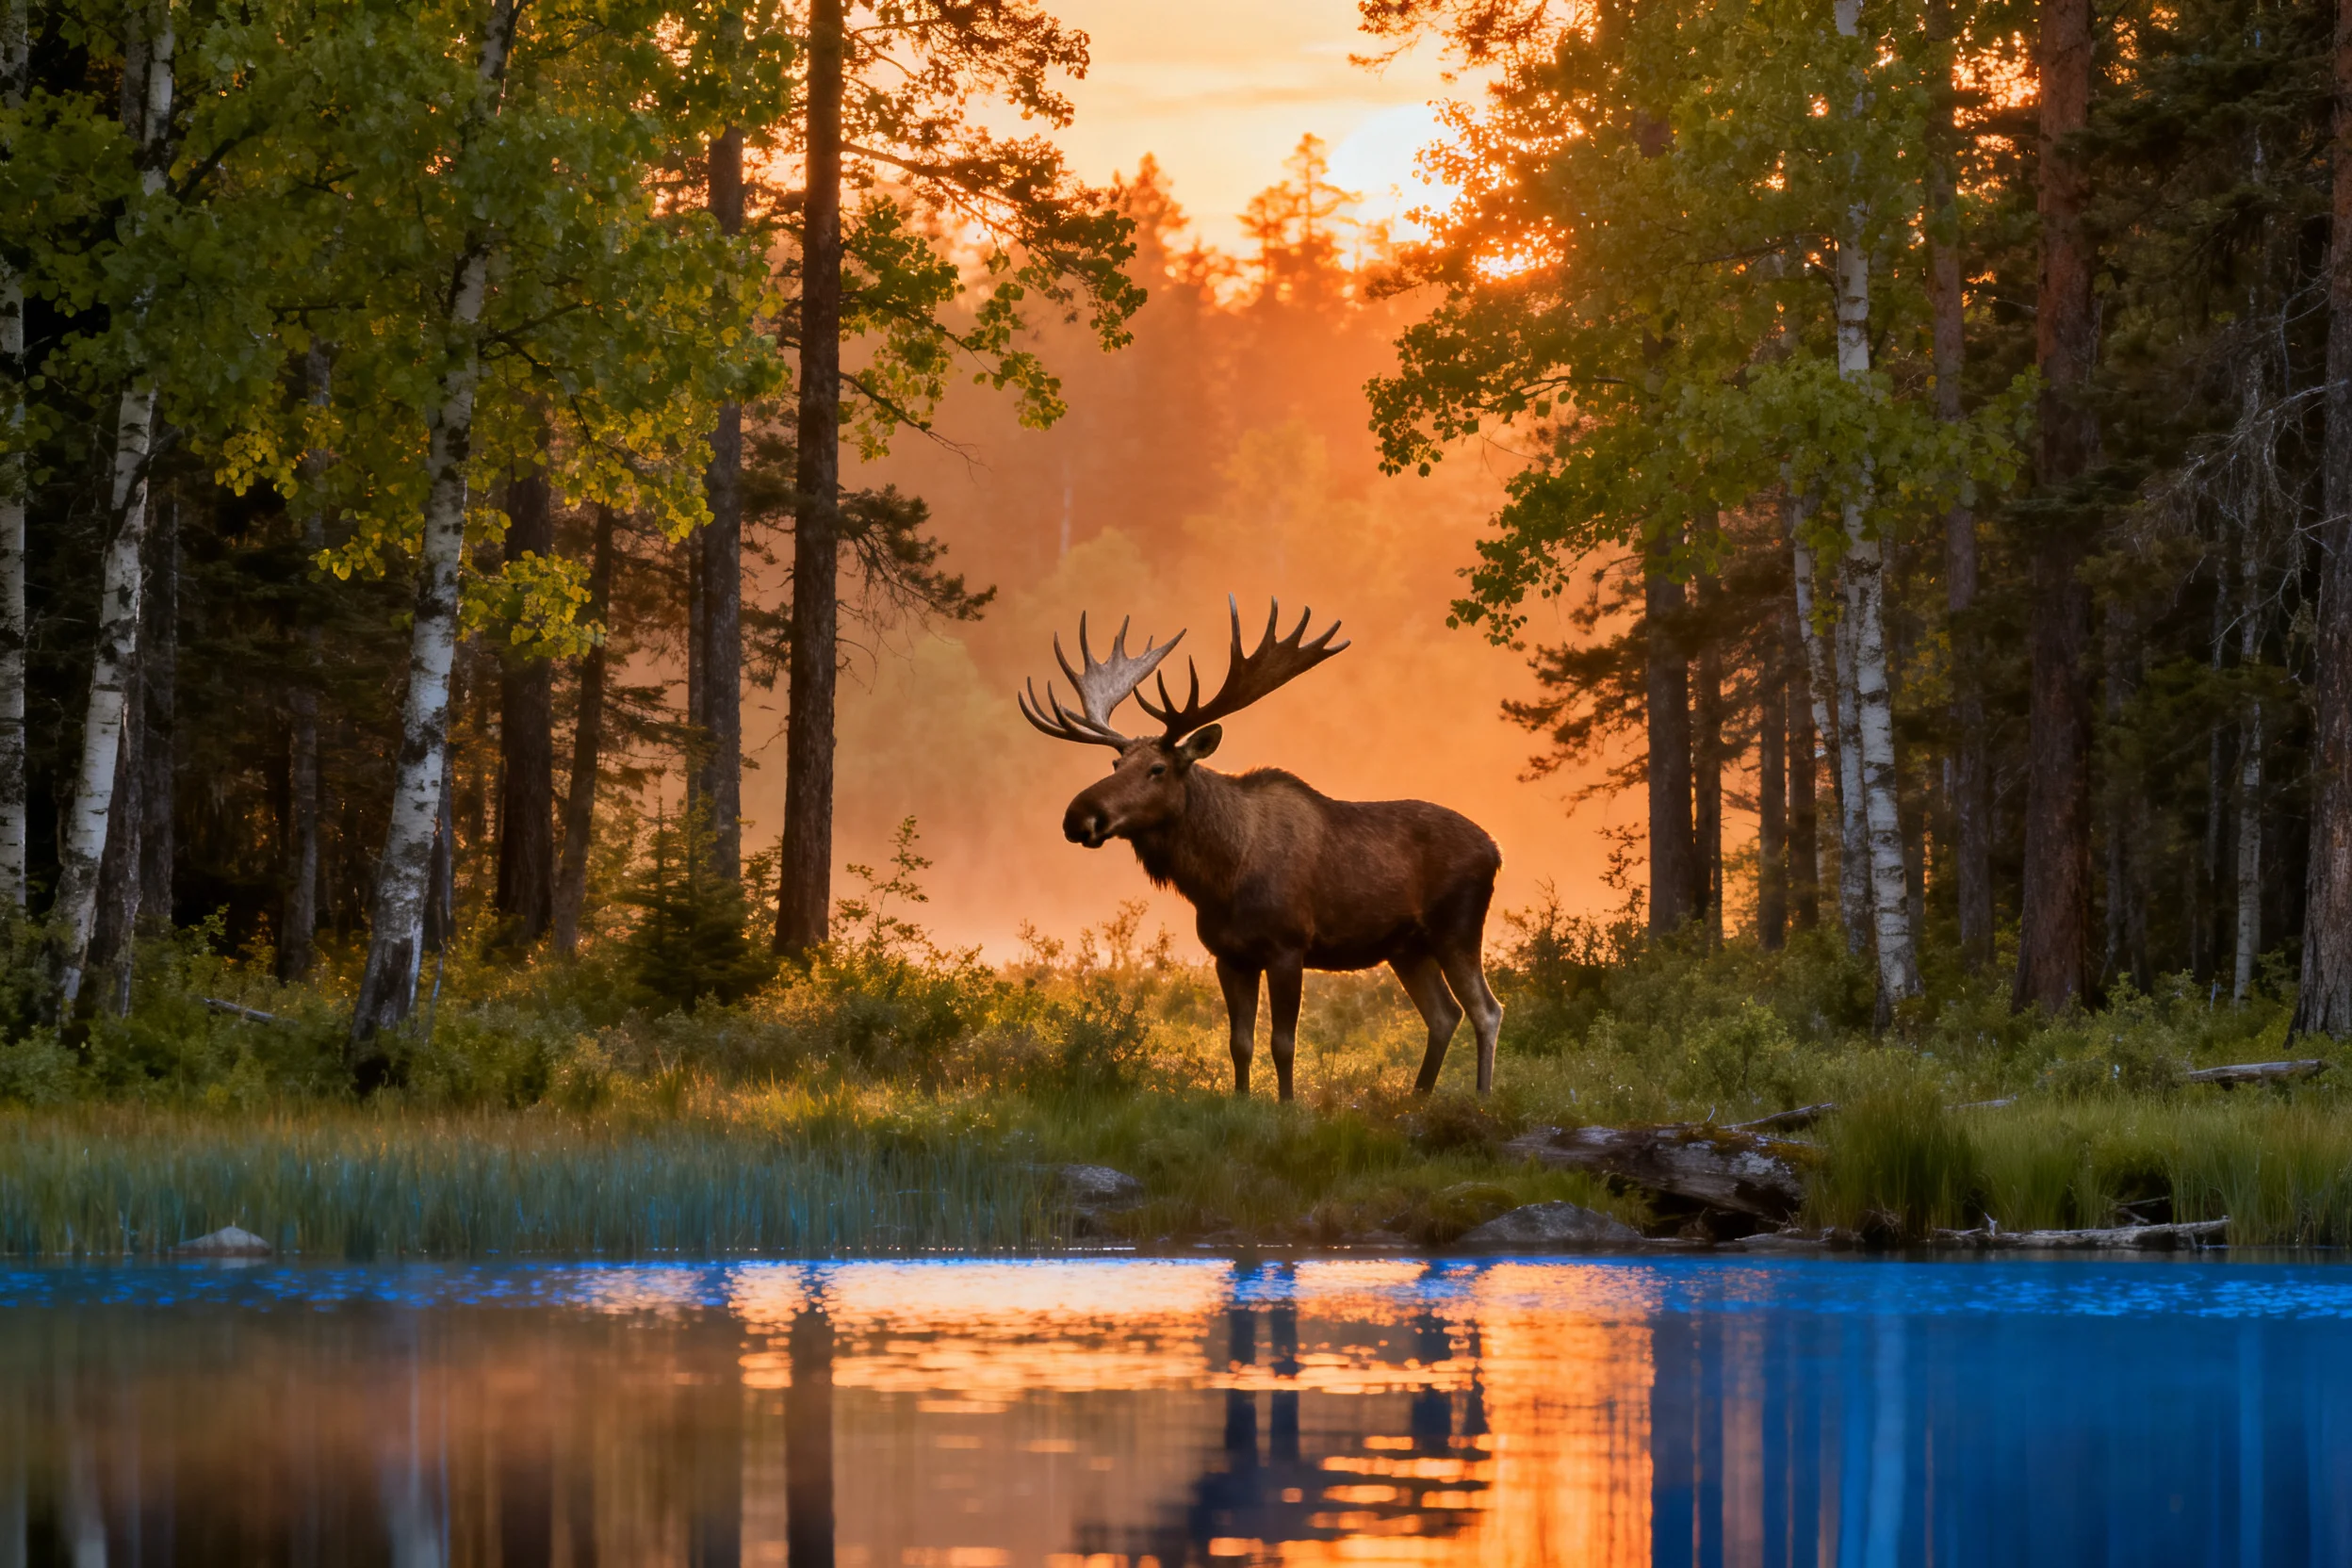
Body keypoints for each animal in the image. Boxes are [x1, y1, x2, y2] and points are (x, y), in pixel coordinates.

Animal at [1020, 598, 1504, 1101]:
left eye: (1157, 768)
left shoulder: (1288, 946)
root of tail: (1495, 850)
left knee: (1486, 1010)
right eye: (1116, 763)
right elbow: (1240, 1044)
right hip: (1406, 948)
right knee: (1443, 1015)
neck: (1222, 878)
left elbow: (1283, 1043)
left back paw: (1482, 1096)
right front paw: (1242, 1100)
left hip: (1457, 927)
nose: (1078, 815)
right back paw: (1419, 1096)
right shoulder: (1228, 955)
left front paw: (1287, 1105)